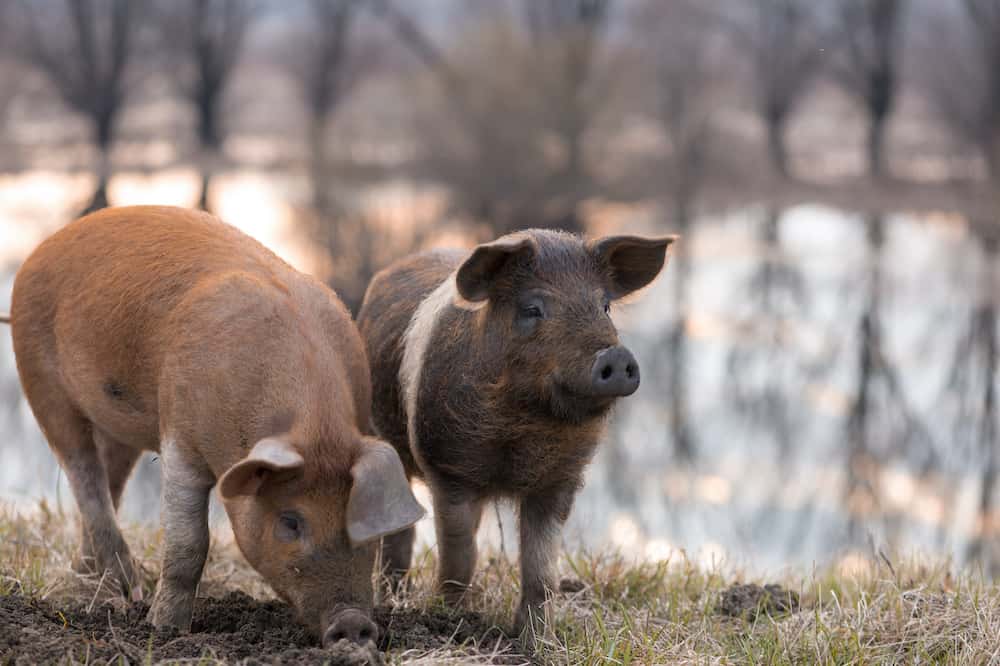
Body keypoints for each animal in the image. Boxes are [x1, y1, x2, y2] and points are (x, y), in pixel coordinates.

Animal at [11, 205, 426, 644]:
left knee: (110, 479)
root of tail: (44, 247)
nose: (352, 623)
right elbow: (189, 542)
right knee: (84, 475)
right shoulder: (180, 436)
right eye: (290, 521)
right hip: (39, 375)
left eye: (359, 519)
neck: (315, 431)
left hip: (115, 419)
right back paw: (128, 593)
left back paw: (96, 586)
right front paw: (165, 629)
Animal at [356, 228, 676, 632]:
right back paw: (392, 599)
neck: (520, 434)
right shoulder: (448, 469)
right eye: (532, 309)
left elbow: (541, 568)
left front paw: (536, 639)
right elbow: (460, 553)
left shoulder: (561, 480)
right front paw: (449, 615)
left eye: (604, 306)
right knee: (400, 532)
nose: (615, 357)